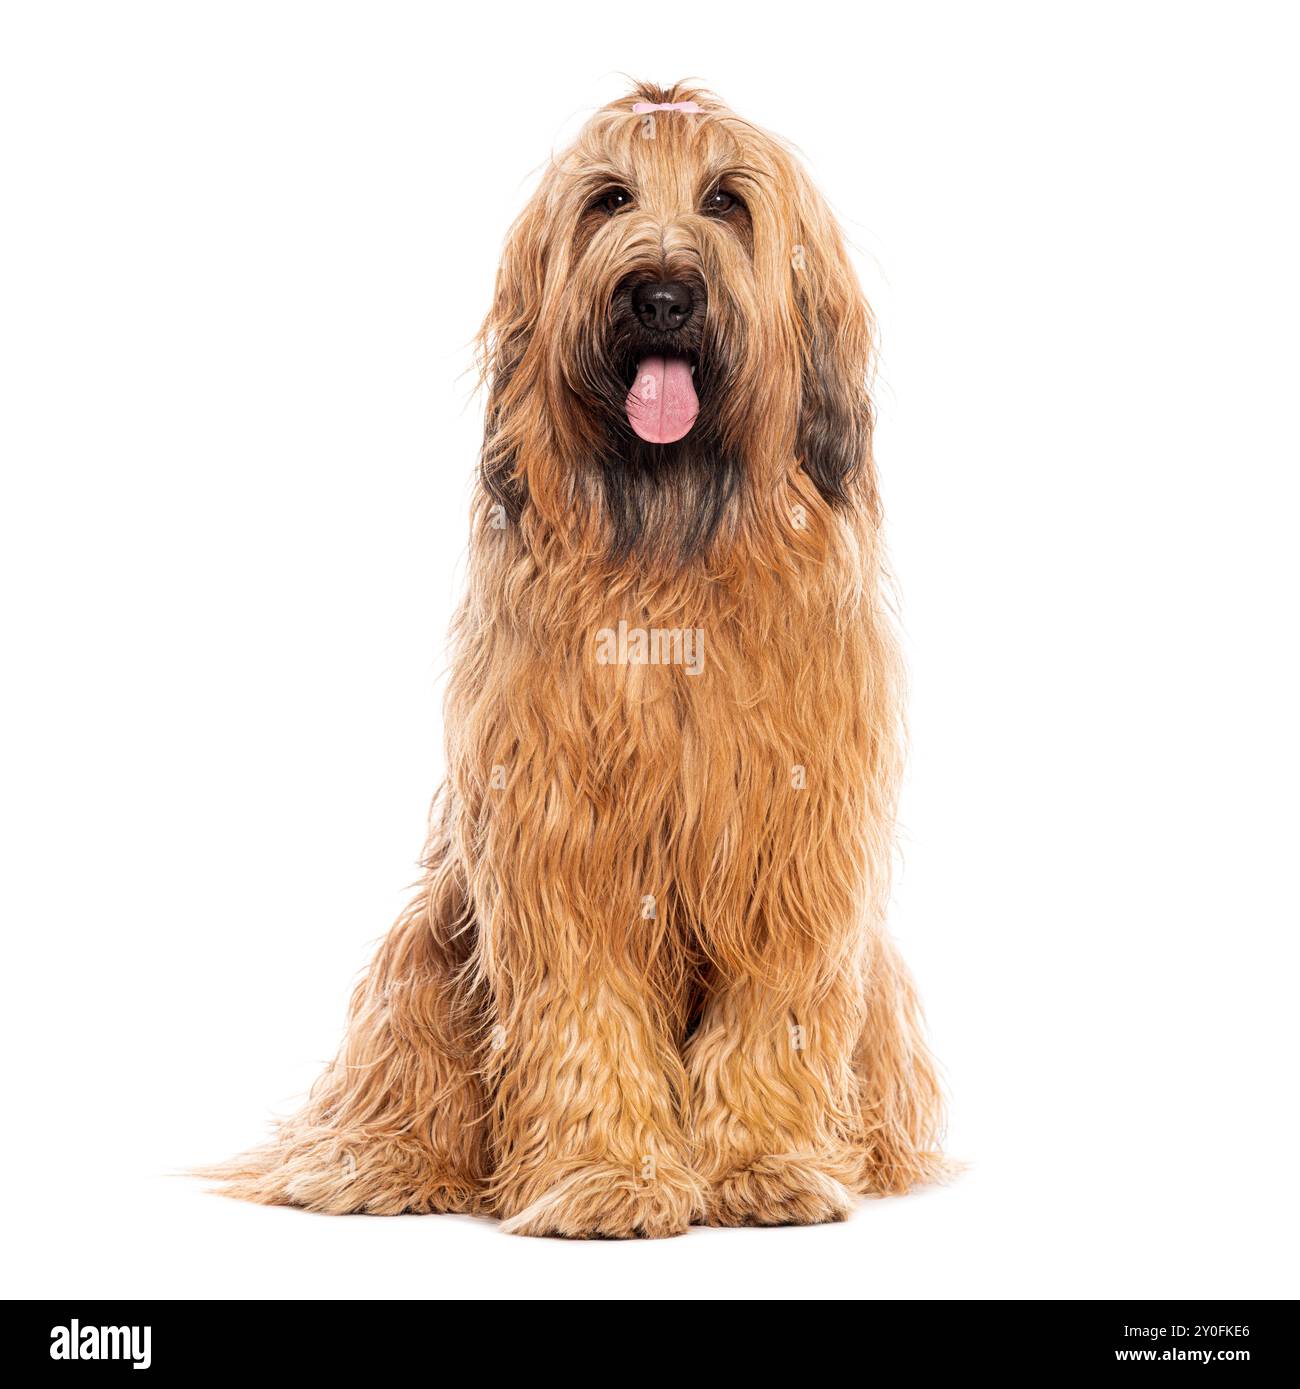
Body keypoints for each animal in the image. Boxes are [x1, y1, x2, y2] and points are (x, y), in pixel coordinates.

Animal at [211, 81, 944, 1244]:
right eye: (608, 199)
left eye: (727, 201)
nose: (661, 296)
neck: (672, 541)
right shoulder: (560, 845)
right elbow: (582, 1008)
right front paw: (606, 1176)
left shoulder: (791, 851)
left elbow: (771, 1009)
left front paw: (765, 1166)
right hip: (430, 937)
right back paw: (369, 1164)